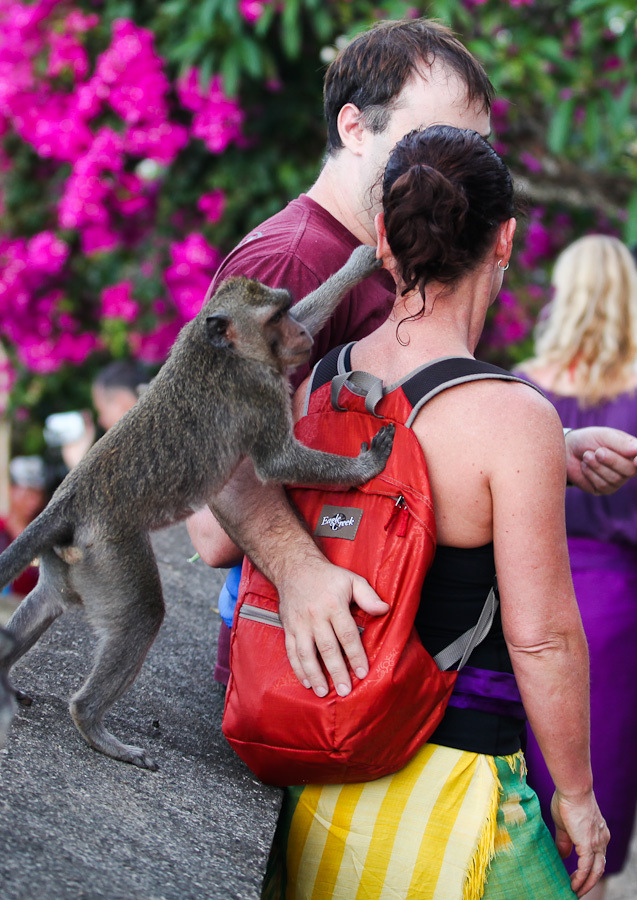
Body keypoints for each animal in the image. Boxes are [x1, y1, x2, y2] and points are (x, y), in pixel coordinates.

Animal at [0, 244, 392, 768]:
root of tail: (69, 503)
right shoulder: (259, 389)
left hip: (67, 562)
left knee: (47, 601)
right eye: (275, 319)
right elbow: (278, 462)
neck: (222, 350)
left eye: (286, 309)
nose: (301, 335)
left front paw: (361, 263)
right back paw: (93, 725)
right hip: (108, 552)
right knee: (143, 613)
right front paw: (367, 466)